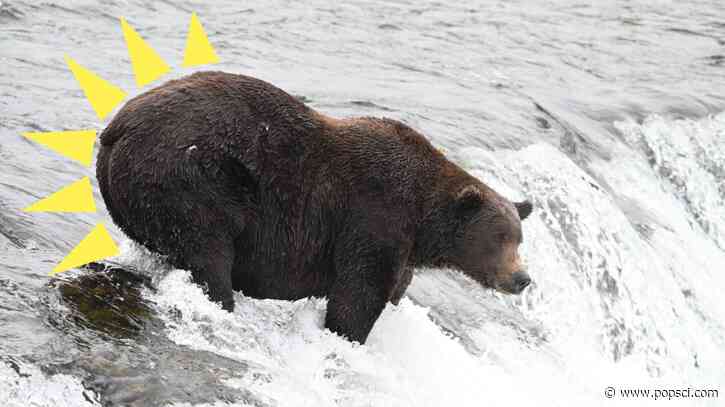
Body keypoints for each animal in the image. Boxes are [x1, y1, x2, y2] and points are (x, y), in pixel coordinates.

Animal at [96, 71, 533, 344]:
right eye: (499, 239)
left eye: (519, 239)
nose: (522, 278)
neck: (424, 224)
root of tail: (117, 126)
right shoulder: (375, 218)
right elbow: (358, 296)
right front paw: (347, 336)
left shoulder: (402, 248)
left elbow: (392, 289)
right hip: (192, 178)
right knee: (208, 250)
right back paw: (221, 299)